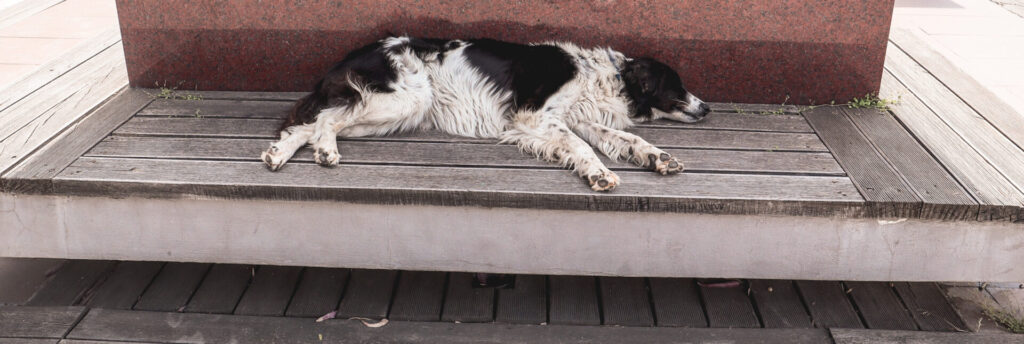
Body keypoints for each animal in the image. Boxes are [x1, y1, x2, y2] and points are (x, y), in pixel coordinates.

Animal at [262, 36, 712, 192]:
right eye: (678, 86)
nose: (707, 107)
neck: (604, 76)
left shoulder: (577, 117)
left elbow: (626, 138)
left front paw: (658, 156)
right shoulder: (533, 116)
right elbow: (583, 148)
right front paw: (599, 173)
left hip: (393, 114)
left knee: (306, 124)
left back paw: (278, 155)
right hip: (403, 99)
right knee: (324, 120)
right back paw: (326, 152)